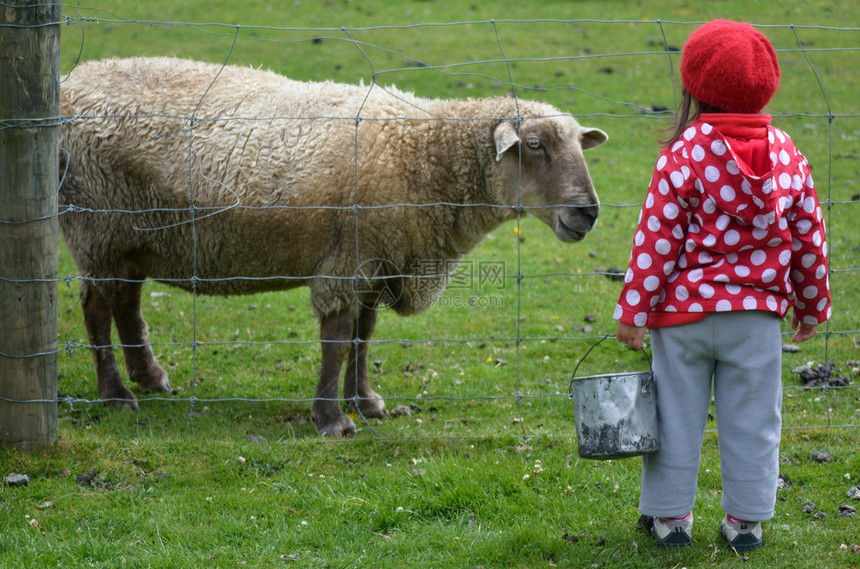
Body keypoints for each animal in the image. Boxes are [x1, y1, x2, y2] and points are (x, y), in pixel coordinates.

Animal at [60, 56, 608, 434]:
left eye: (580, 146)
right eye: (534, 145)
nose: (588, 213)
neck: (423, 154)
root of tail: (71, 82)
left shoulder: (380, 260)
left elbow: (364, 337)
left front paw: (365, 402)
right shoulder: (347, 261)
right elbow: (339, 339)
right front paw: (331, 419)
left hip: (132, 238)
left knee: (126, 303)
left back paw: (150, 378)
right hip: (96, 229)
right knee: (96, 308)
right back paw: (115, 394)